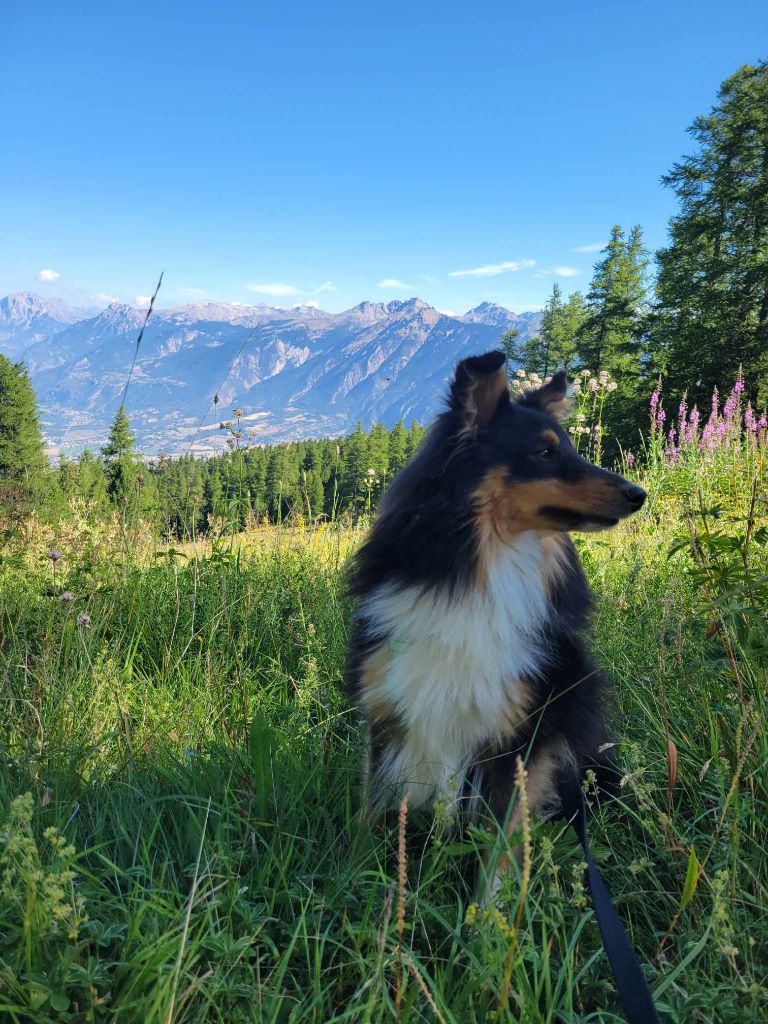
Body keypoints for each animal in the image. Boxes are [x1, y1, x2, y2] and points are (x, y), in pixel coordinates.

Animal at [346, 350, 647, 880]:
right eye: (545, 452)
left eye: (571, 448)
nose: (639, 493)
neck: (483, 566)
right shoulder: (387, 709)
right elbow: (370, 814)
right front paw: (351, 880)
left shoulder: (521, 736)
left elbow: (497, 853)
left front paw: (490, 905)